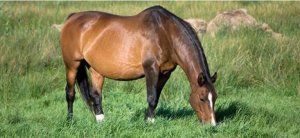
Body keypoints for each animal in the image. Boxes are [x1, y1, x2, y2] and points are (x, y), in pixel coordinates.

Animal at [59, 5, 217, 125]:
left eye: (215, 98)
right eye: (202, 98)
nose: (211, 125)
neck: (165, 33)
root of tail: (73, 17)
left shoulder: (165, 73)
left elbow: (156, 97)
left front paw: (149, 119)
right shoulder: (151, 69)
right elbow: (151, 97)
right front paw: (149, 122)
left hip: (95, 69)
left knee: (96, 94)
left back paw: (101, 120)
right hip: (71, 64)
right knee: (70, 92)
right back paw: (70, 120)